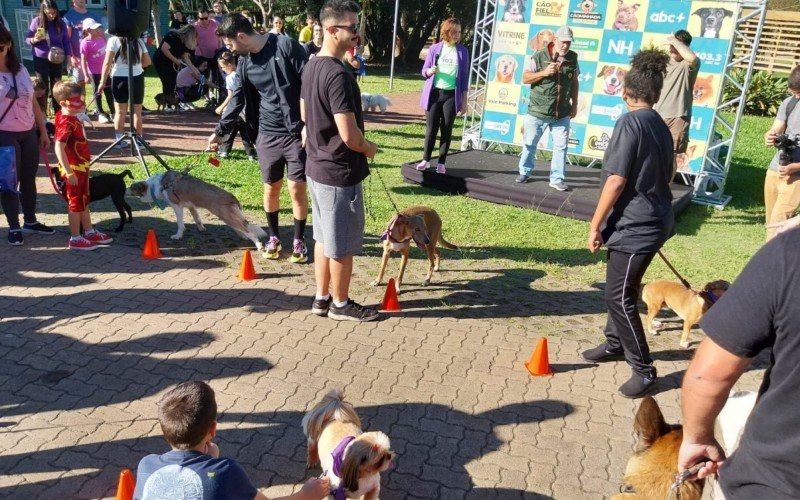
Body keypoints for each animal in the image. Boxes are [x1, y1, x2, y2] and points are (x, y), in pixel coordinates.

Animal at [126, 172, 268, 250]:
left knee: (248, 230)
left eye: (132, 188)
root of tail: (231, 196)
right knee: (242, 226)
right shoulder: (191, 206)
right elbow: (197, 218)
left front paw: (178, 236)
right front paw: (201, 228)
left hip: (225, 215)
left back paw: (258, 245)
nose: (124, 189)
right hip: (228, 216)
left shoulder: (177, 206)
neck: (159, 185)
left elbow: (180, 224)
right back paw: (243, 236)